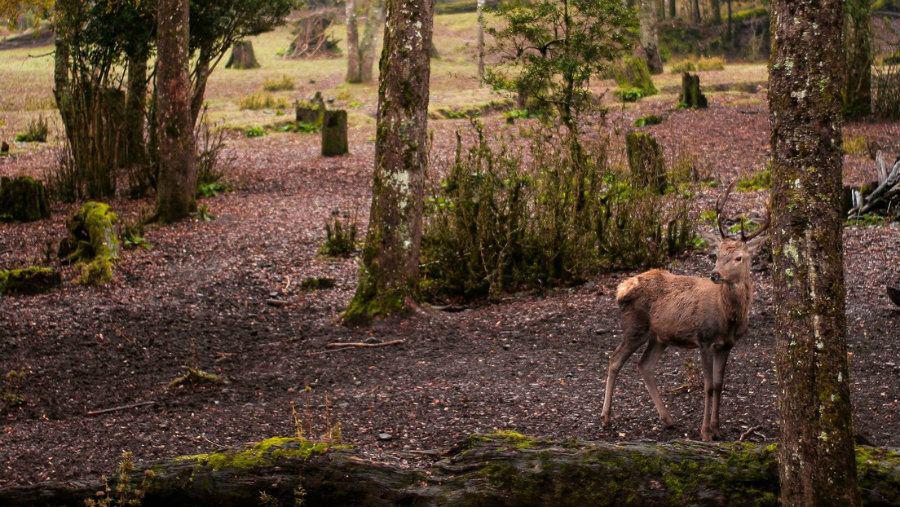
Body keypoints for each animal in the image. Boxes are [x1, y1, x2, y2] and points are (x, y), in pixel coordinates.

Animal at [600, 185, 768, 442]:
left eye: (738, 257)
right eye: (716, 254)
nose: (715, 274)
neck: (728, 318)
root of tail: (621, 288)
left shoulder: (727, 345)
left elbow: (719, 384)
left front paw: (717, 428)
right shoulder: (704, 338)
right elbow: (708, 385)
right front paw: (705, 432)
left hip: (659, 337)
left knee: (644, 365)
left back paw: (668, 420)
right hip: (635, 326)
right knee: (614, 360)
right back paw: (606, 417)